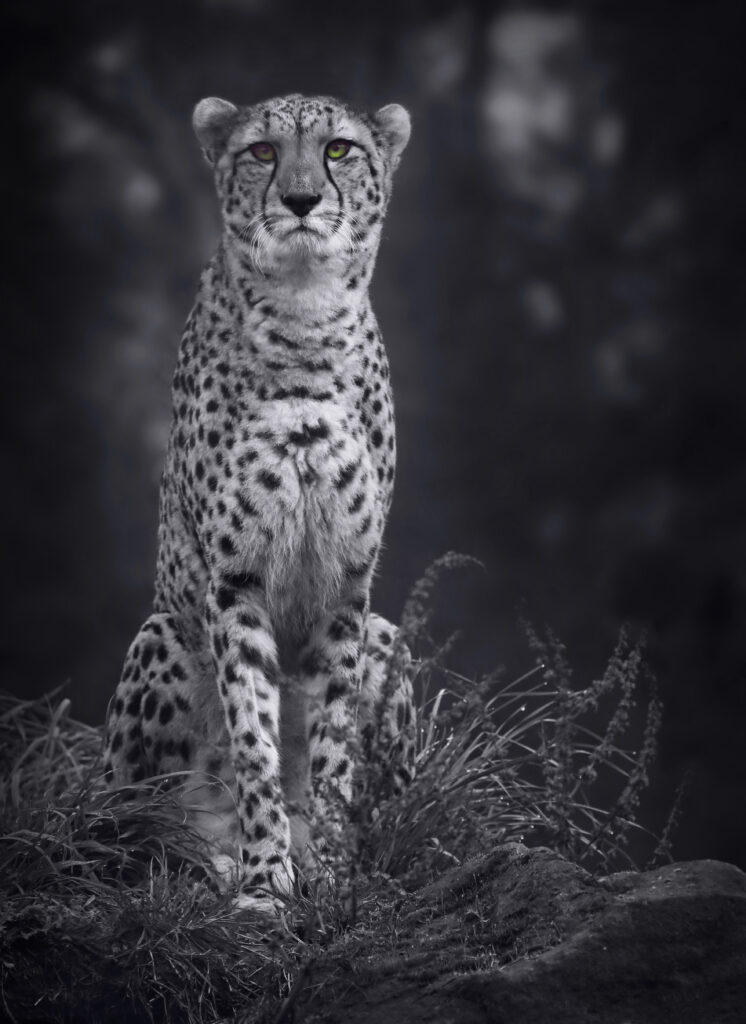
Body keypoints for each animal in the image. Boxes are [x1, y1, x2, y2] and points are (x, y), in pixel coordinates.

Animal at [103, 92, 414, 914]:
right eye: (263, 152)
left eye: (339, 150)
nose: (301, 199)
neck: (304, 318)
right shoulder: (233, 583)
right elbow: (253, 736)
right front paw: (266, 881)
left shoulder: (347, 589)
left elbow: (331, 747)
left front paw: (329, 871)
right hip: (162, 637)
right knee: (128, 833)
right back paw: (208, 860)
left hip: (389, 636)